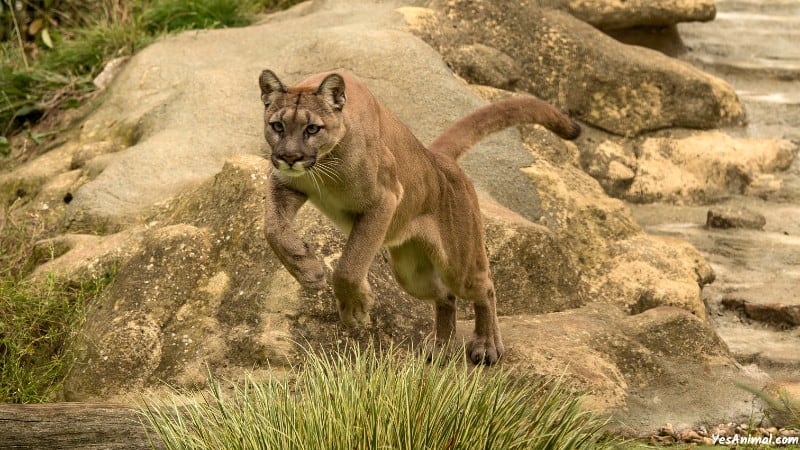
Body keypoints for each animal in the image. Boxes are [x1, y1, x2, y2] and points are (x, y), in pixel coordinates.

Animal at [260, 70, 580, 366]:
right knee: (445, 296)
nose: (289, 157)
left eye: (313, 128)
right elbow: (273, 229)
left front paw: (355, 307)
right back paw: (440, 346)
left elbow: (350, 264)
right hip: (410, 273)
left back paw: (486, 343)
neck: (324, 165)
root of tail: (437, 157)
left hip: (459, 264)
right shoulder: (285, 184)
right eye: (277, 126)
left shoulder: (384, 198)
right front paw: (308, 269)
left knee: (484, 287)